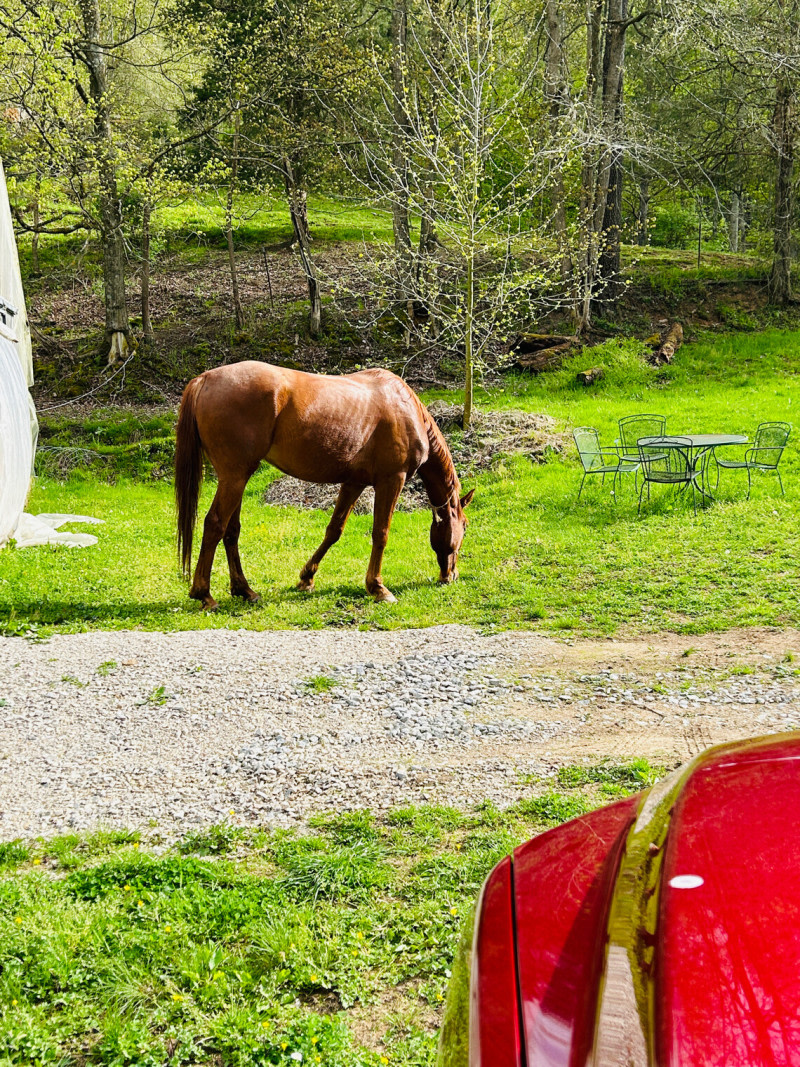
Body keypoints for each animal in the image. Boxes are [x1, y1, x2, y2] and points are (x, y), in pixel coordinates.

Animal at [174, 361, 474, 610]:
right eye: (465, 526)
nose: (451, 575)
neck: (406, 409)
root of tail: (205, 378)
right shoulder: (392, 480)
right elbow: (381, 533)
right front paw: (378, 588)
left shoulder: (354, 482)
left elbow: (334, 530)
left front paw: (306, 577)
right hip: (234, 476)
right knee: (215, 524)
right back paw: (204, 594)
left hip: (235, 478)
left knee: (231, 530)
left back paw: (244, 590)